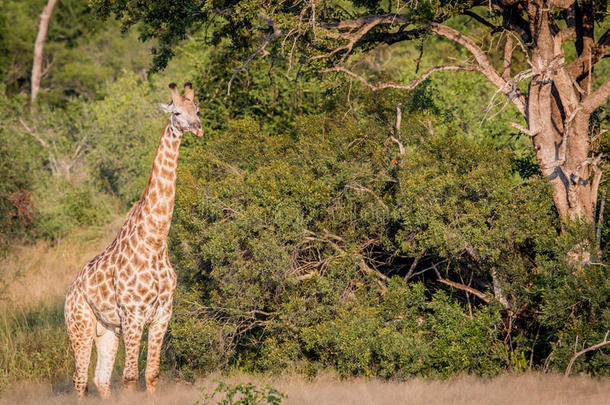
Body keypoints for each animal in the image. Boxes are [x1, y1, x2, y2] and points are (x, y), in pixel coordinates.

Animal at [64, 82, 202, 398]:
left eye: (197, 109)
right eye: (177, 112)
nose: (198, 128)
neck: (155, 240)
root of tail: (69, 293)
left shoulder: (163, 313)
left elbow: (151, 374)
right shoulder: (133, 315)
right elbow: (129, 377)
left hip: (107, 330)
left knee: (101, 379)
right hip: (80, 326)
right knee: (79, 379)